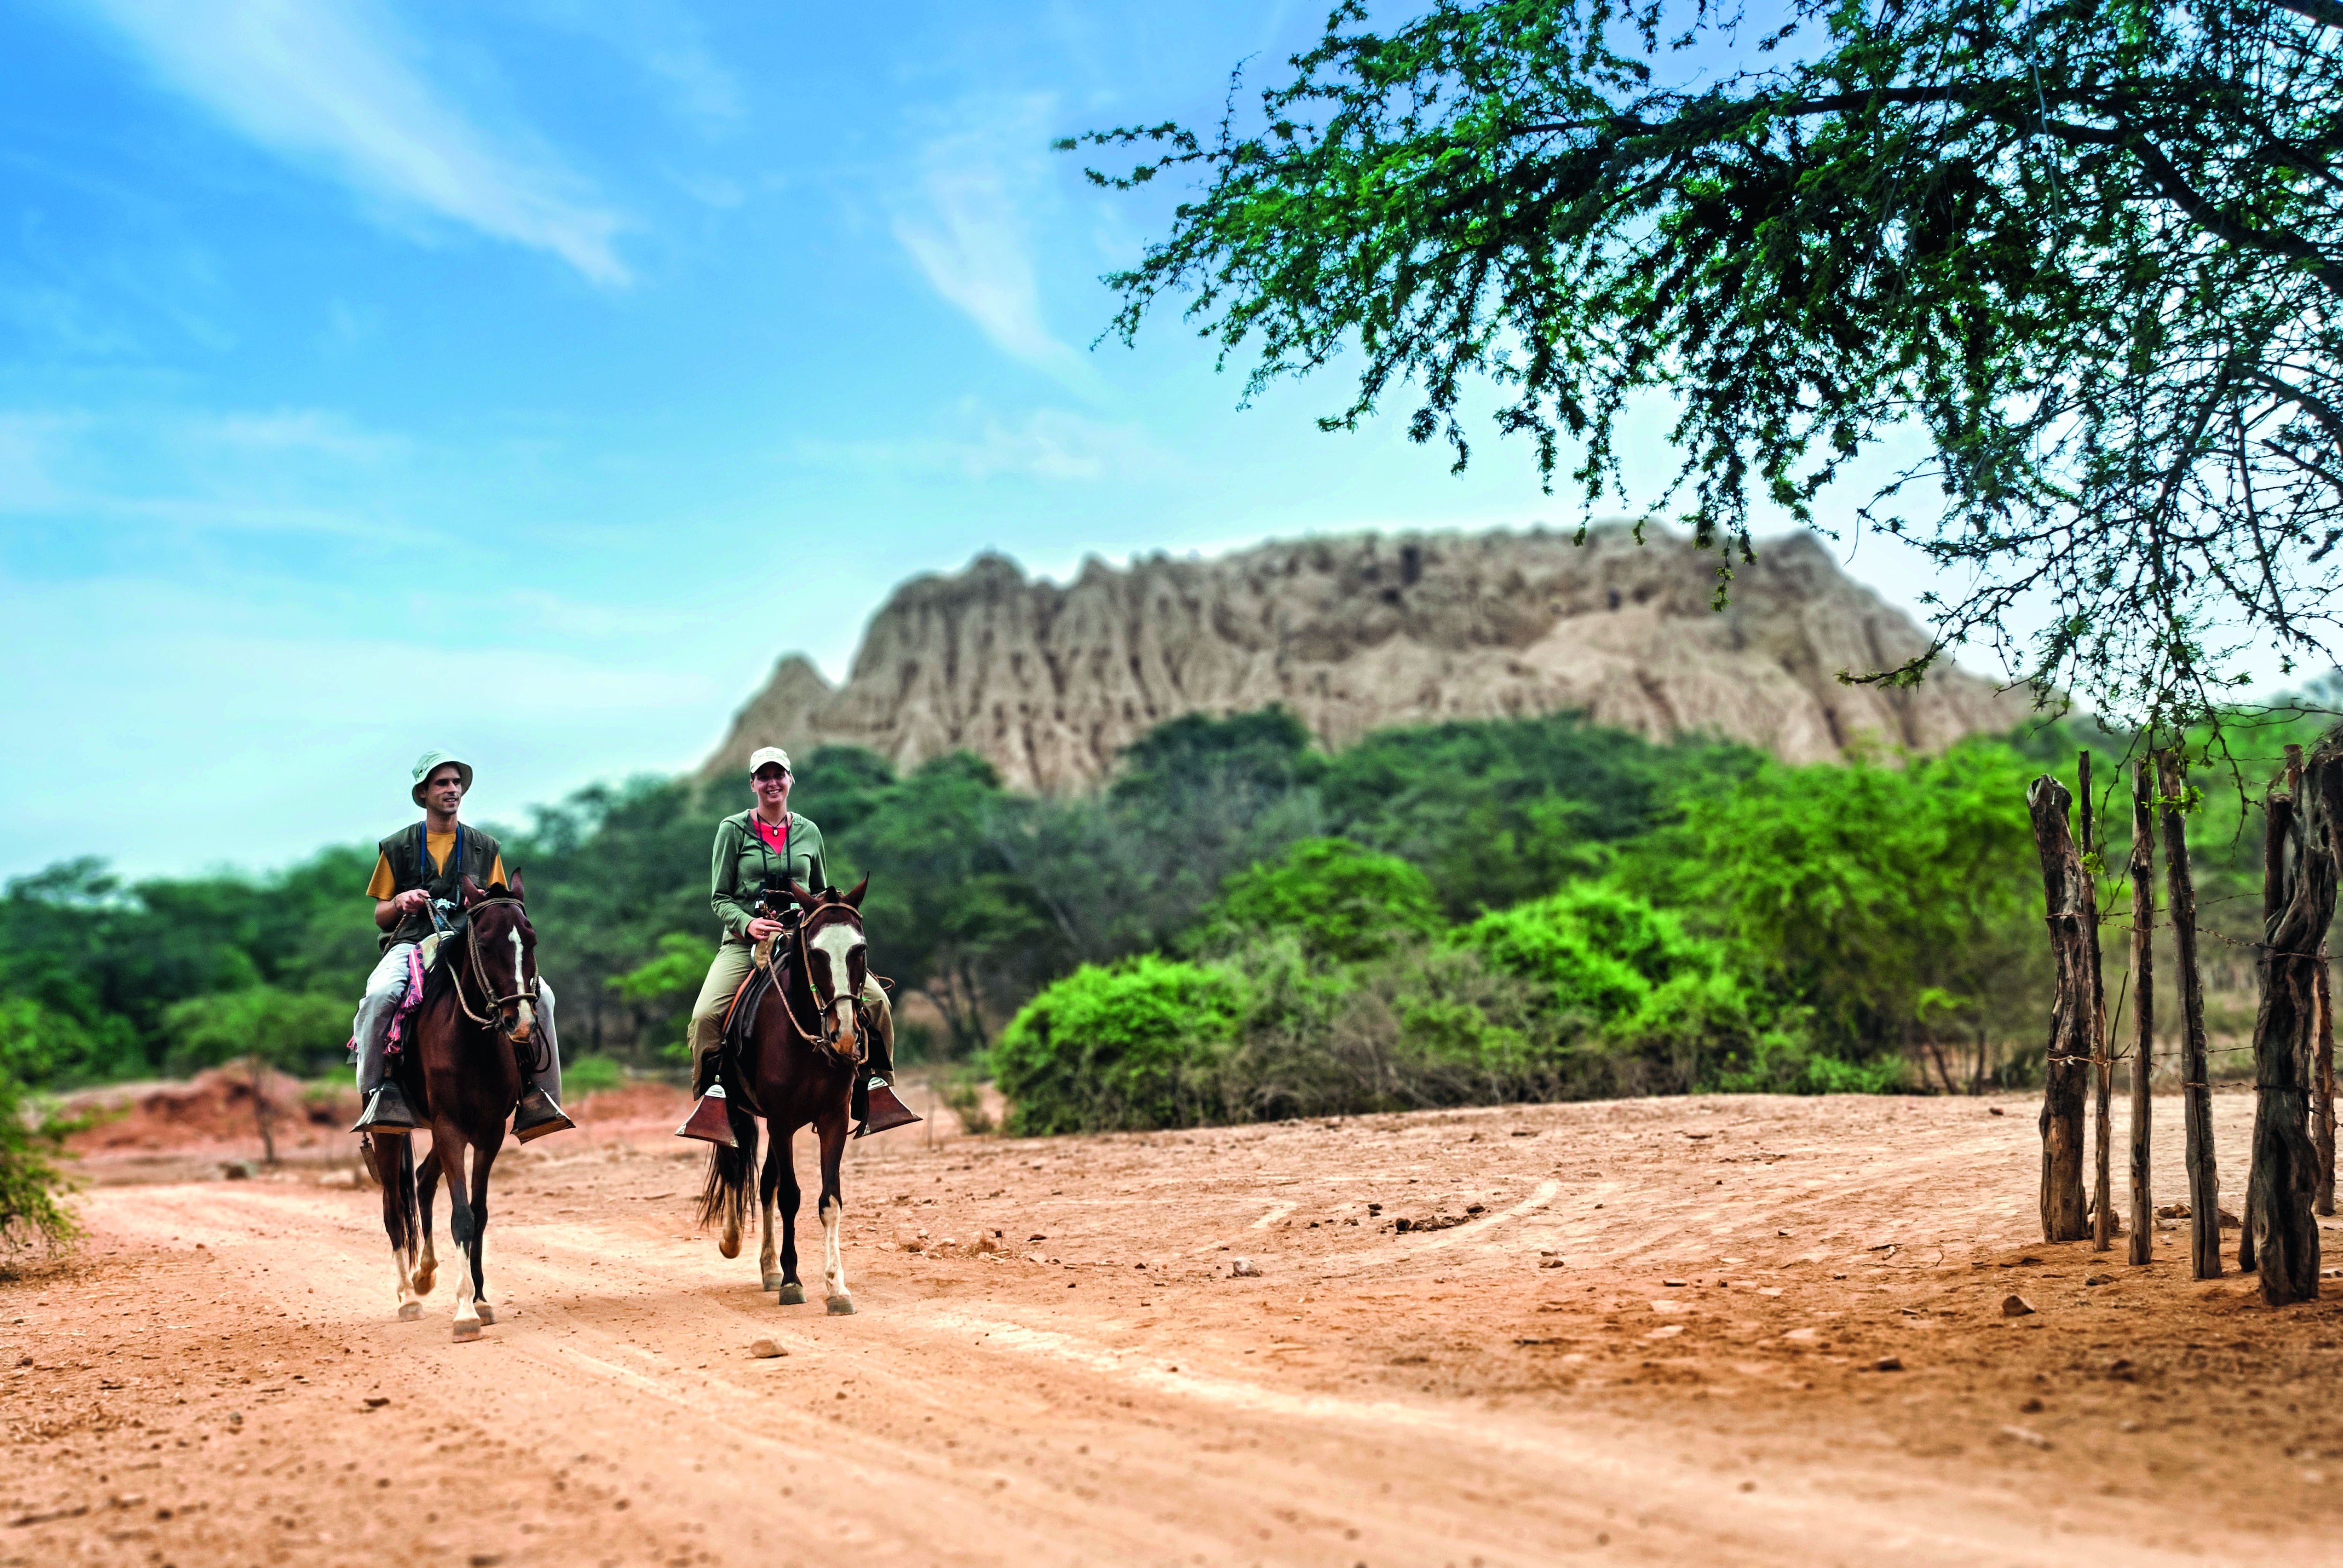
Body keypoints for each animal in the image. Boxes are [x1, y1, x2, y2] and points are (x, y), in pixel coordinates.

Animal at [366, 877, 544, 1340]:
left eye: (531, 938)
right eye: (483, 942)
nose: (520, 1020)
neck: (472, 1042)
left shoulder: (487, 1133)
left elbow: (478, 1214)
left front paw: (480, 1300)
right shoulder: (449, 1128)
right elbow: (461, 1215)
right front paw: (464, 1313)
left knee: (423, 1179)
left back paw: (426, 1273)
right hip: (391, 1134)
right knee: (394, 1207)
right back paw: (407, 1297)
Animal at [703, 881, 881, 1312]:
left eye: (860, 948)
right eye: (815, 952)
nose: (845, 1033)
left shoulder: (832, 1118)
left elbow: (828, 1200)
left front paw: (836, 1288)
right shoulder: (781, 1120)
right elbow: (790, 1197)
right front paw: (792, 1282)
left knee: (766, 1181)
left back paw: (769, 1268)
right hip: (736, 1111)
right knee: (735, 1167)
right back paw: (734, 1243)